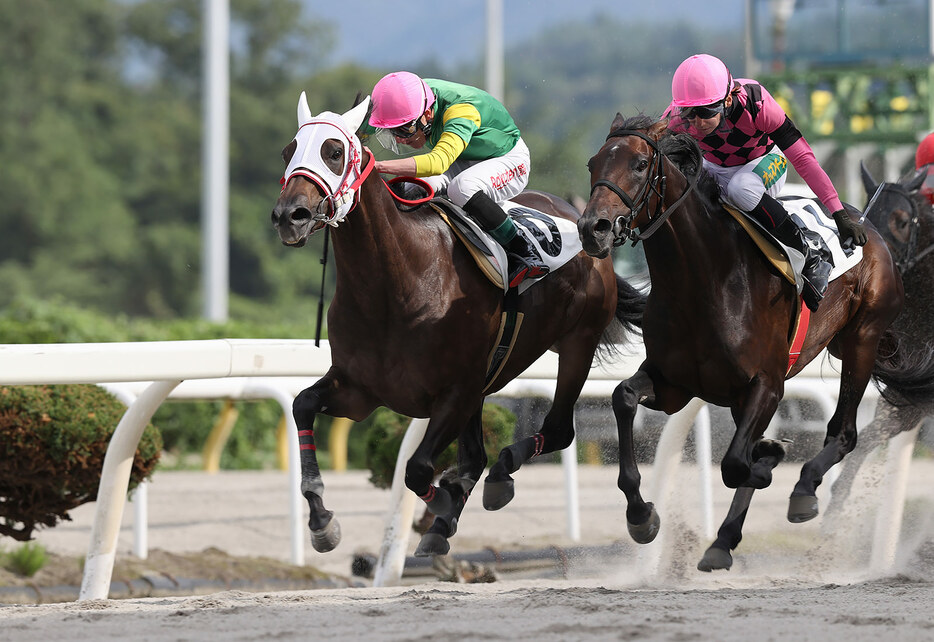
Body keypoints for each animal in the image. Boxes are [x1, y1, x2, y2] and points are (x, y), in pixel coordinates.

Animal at [274, 94, 648, 556]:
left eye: (334, 152)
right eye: (287, 152)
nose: (289, 215)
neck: (396, 286)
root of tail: (581, 218)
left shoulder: (455, 392)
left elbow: (417, 469)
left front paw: (443, 501)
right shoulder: (359, 389)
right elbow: (302, 405)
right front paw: (322, 520)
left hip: (577, 341)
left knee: (557, 429)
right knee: (480, 456)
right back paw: (453, 515)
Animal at [576, 112, 934, 568]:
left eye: (640, 165)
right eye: (592, 164)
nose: (594, 228)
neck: (704, 281)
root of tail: (867, 224)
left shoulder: (766, 384)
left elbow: (734, 464)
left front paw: (768, 463)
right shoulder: (675, 384)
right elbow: (623, 397)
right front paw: (641, 516)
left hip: (862, 338)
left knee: (845, 432)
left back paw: (802, 490)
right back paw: (723, 540)